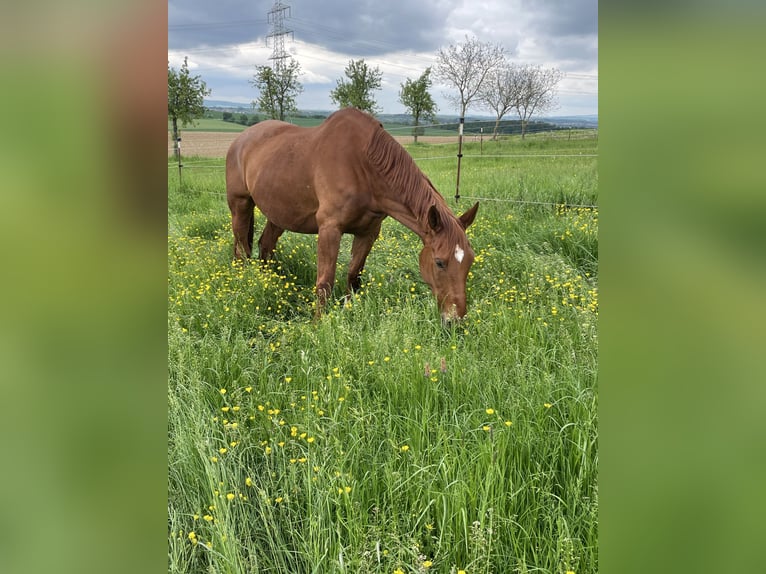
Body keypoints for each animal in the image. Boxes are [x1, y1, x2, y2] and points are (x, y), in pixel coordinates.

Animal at [225, 107, 480, 322]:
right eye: (439, 262)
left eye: (470, 260)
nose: (455, 320)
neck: (363, 165)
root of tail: (240, 139)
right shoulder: (330, 229)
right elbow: (325, 282)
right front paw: (318, 324)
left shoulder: (368, 232)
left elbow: (353, 275)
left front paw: (349, 311)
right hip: (240, 205)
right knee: (241, 250)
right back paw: (245, 284)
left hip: (280, 214)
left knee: (265, 245)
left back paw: (268, 282)